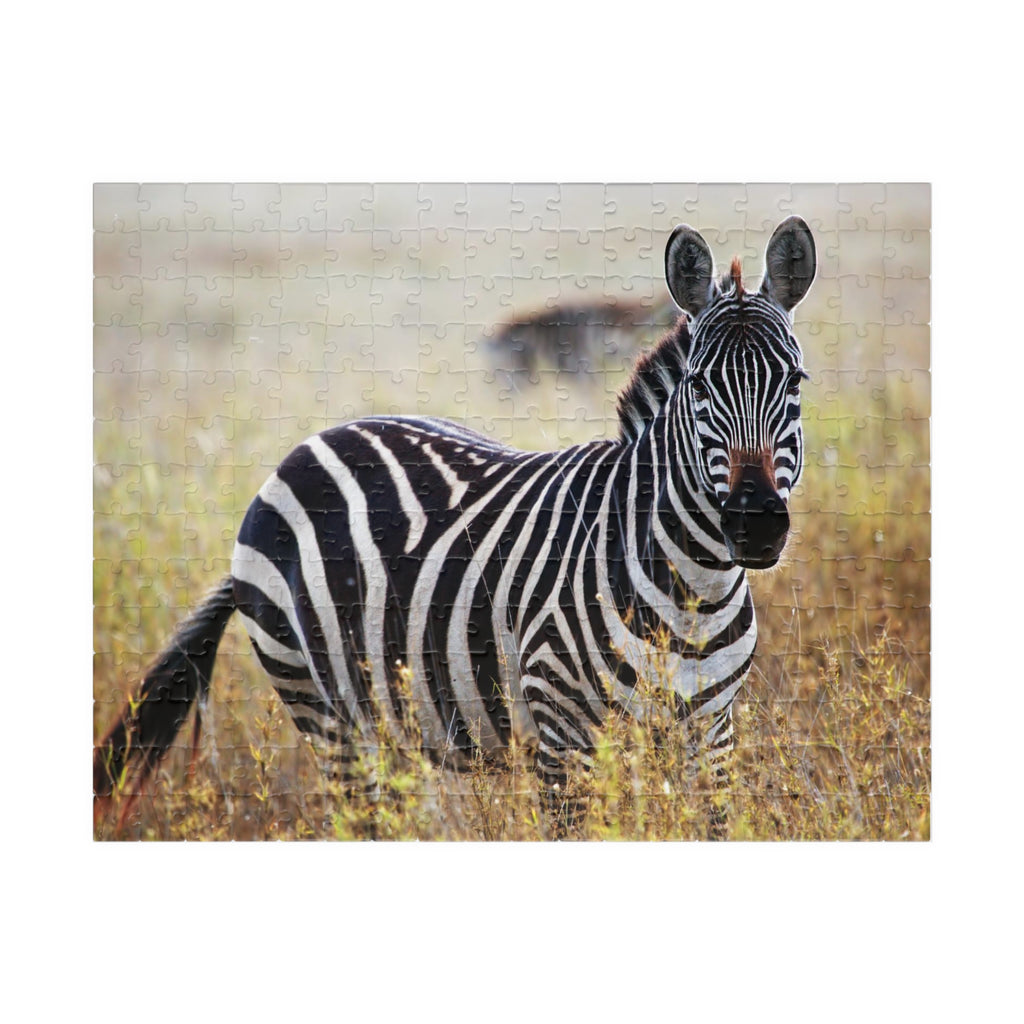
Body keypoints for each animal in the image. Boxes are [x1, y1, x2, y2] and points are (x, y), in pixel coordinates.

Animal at [94, 215, 816, 837]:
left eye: (796, 382)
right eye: (699, 386)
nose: (754, 526)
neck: (694, 589)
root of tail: (305, 446)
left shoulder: (713, 734)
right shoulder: (563, 734)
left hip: (394, 716)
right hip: (322, 709)